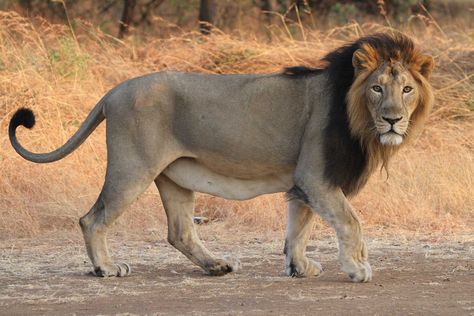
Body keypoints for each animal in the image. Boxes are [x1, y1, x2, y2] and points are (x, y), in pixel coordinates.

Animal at [10, 32, 434, 282]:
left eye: (407, 89)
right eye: (377, 88)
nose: (393, 120)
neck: (357, 115)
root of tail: (113, 91)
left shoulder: (306, 181)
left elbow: (299, 226)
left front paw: (299, 267)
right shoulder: (317, 176)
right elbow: (351, 222)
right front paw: (358, 268)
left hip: (175, 176)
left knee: (179, 231)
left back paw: (216, 265)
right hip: (132, 168)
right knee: (92, 219)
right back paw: (106, 268)